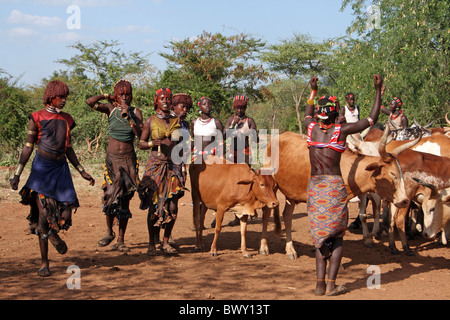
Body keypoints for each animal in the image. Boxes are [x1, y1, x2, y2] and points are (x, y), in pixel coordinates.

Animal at [260, 126, 412, 258]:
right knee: (267, 213)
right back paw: (264, 247)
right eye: (393, 174)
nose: (405, 200)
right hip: (269, 186)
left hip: (291, 193)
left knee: (287, 216)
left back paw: (290, 250)